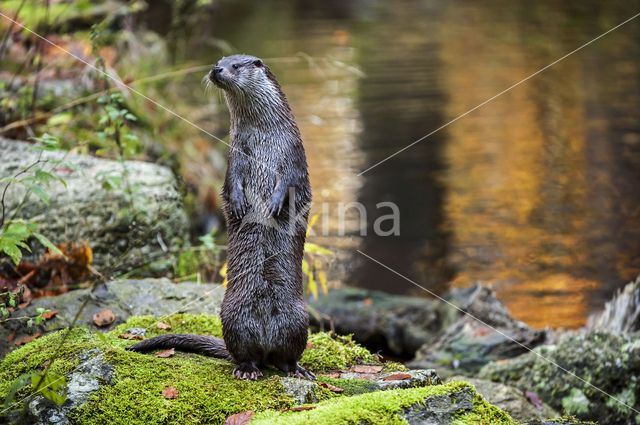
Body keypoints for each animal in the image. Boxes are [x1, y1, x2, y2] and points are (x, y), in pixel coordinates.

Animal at [126, 53, 314, 380]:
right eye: (220, 60)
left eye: (236, 65)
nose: (216, 70)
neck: (264, 139)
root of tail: (266, 343)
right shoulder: (235, 154)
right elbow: (232, 181)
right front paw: (239, 204)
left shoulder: (292, 153)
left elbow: (288, 183)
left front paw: (275, 204)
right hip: (232, 315)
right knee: (247, 355)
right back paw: (247, 369)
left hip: (298, 319)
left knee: (286, 357)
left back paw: (296, 369)